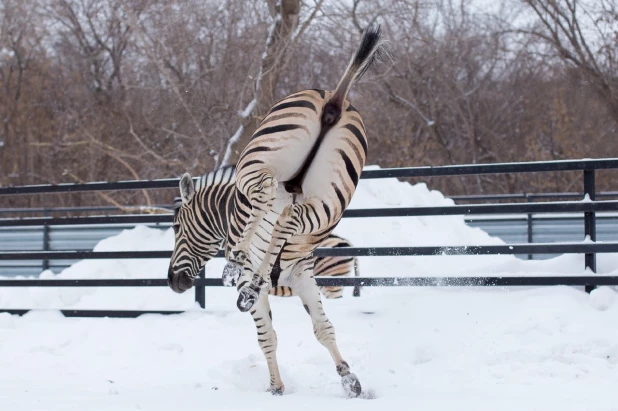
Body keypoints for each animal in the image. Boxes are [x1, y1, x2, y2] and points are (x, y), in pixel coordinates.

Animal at [221, 25, 382, 396]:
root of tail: (334, 98)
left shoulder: (296, 278)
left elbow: (267, 336)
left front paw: (276, 387)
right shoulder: (305, 276)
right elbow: (323, 327)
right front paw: (348, 379)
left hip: (256, 164)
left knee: (267, 192)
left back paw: (239, 265)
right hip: (329, 200)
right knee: (290, 215)